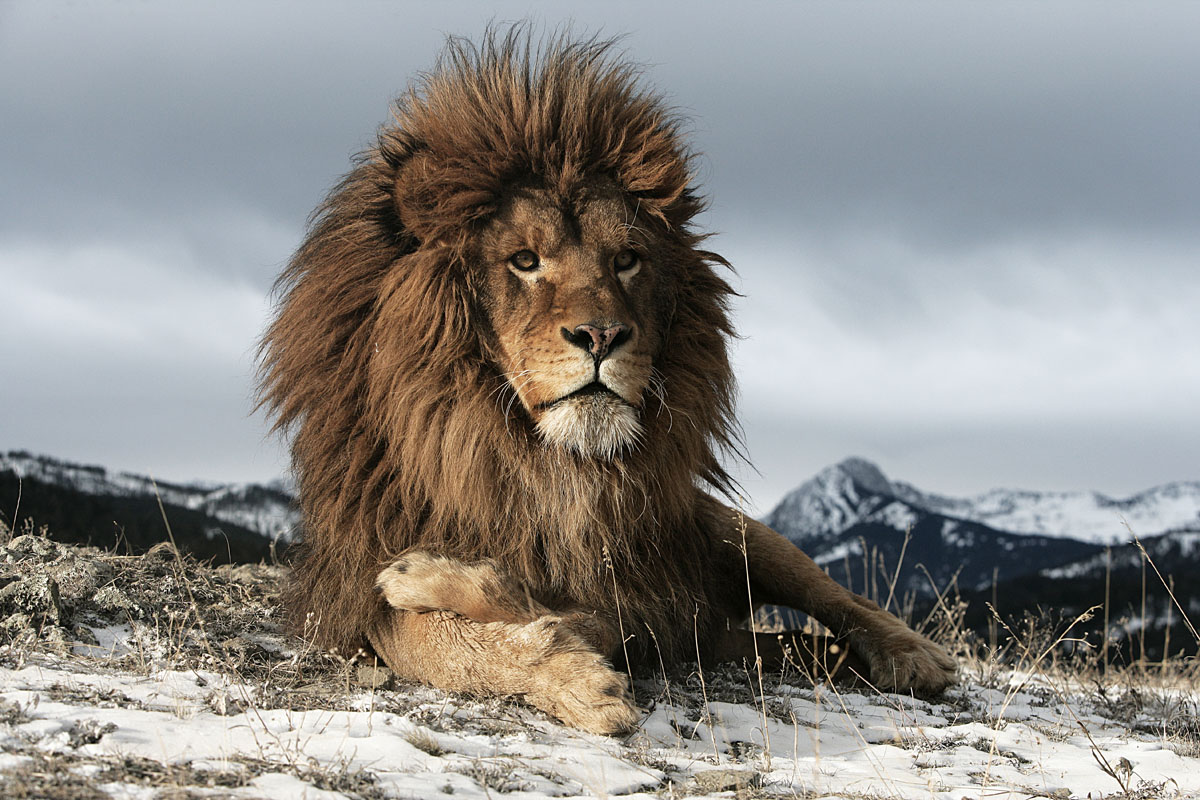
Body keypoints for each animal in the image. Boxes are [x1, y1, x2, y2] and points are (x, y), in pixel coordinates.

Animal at [258, 31, 956, 735]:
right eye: (525, 260)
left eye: (626, 259)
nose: (601, 335)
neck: (542, 467)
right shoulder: (358, 594)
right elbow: (444, 642)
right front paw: (568, 674)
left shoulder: (644, 600)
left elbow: (551, 609)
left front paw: (445, 586)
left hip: (735, 534)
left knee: (842, 600)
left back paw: (915, 656)